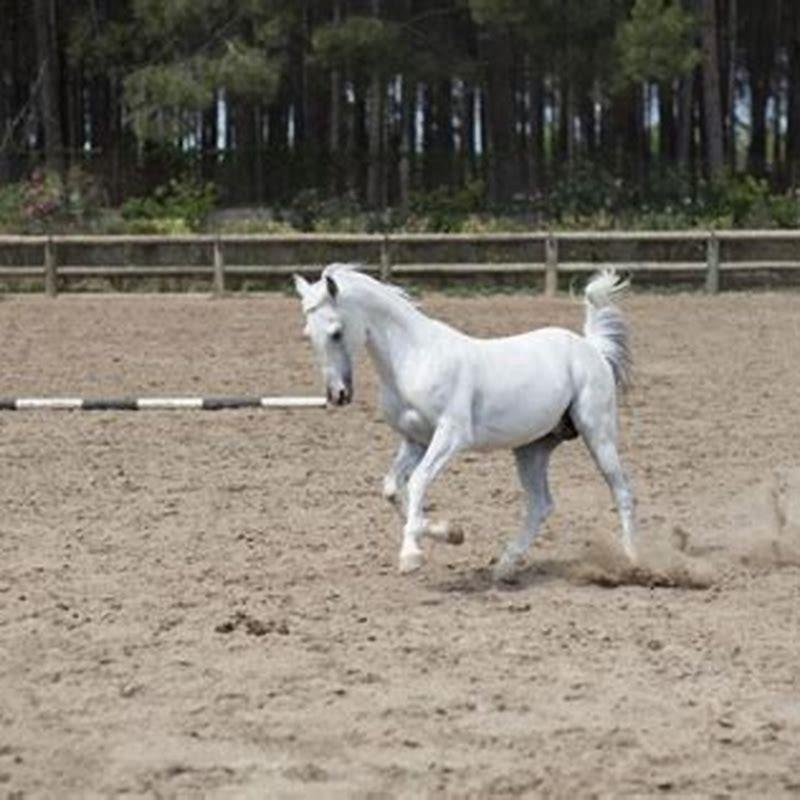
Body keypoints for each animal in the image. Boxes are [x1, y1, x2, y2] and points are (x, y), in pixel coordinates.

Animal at [293, 264, 636, 581]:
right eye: (308, 335)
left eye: (336, 332)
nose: (337, 394)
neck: (414, 359)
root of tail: (591, 348)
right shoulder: (415, 441)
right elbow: (392, 488)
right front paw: (450, 533)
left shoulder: (451, 436)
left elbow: (417, 481)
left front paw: (411, 555)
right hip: (531, 448)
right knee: (541, 504)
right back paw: (505, 566)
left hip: (598, 433)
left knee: (621, 492)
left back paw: (632, 562)